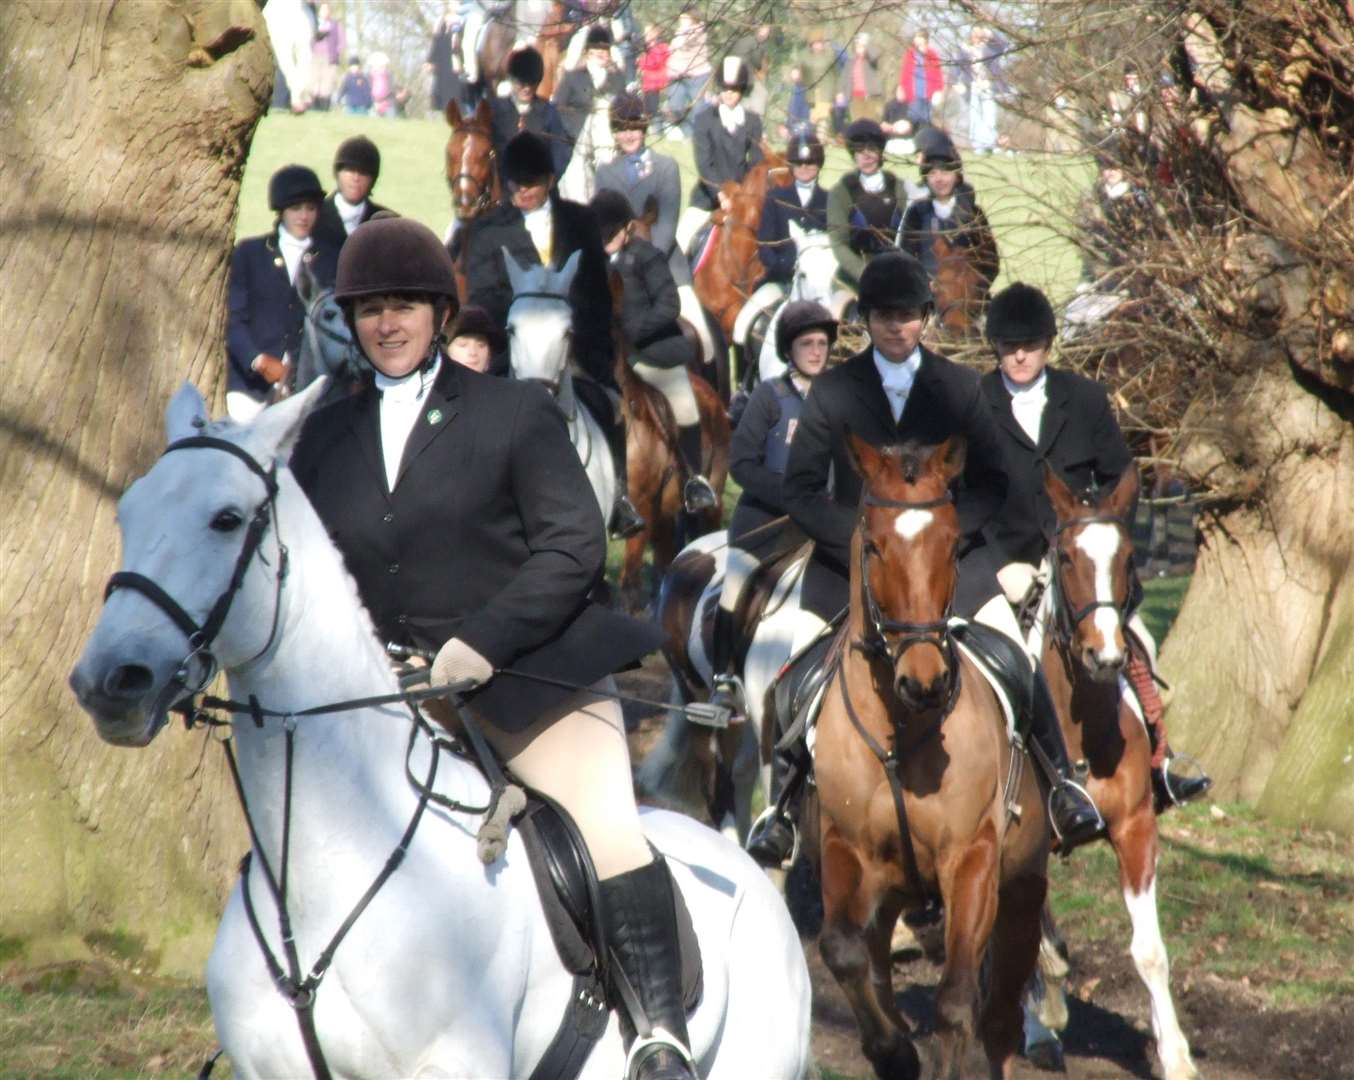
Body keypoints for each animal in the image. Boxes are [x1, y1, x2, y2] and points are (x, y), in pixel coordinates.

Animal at [806, 435, 1050, 1077]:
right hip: (892, 893)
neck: (899, 729)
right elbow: (842, 951)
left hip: (1022, 891)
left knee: (1000, 1018)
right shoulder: (846, 847)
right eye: (873, 545)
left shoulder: (973, 860)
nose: (925, 682)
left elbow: (958, 1002)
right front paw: (892, 1052)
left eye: (953, 542)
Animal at [1018, 468, 1202, 1080]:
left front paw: (1175, 1055)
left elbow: (1149, 953)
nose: (1105, 657)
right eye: (1067, 556)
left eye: (1126, 558)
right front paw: (1042, 1018)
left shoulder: (1137, 829)